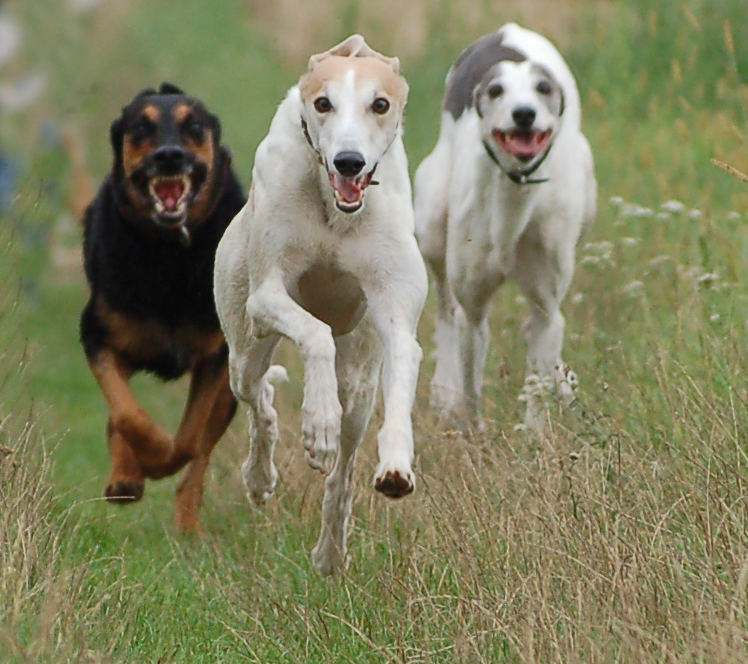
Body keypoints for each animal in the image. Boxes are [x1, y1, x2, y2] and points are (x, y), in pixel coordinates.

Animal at [81, 83, 245, 532]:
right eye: (141, 128)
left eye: (194, 127)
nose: (169, 155)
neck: (169, 249)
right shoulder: (98, 335)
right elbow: (127, 415)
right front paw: (142, 461)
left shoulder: (216, 354)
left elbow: (189, 441)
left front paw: (158, 462)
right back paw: (125, 477)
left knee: (200, 455)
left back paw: (189, 527)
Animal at [216, 35, 426, 576]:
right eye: (323, 103)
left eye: (380, 104)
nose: (349, 161)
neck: (337, 212)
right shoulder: (267, 295)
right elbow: (314, 336)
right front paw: (318, 422)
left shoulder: (395, 314)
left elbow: (403, 362)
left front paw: (397, 462)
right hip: (243, 348)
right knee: (260, 398)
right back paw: (260, 477)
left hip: (361, 377)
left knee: (344, 469)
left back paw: (331, 551)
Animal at [414, 23, 596, 430]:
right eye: (496, 91)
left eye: (543, 88)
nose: (524, 114)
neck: (516, 195)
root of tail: (507, 29)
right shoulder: (473, 306)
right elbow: (471, 387)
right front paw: (472, 431)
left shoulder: (546, 302)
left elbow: (540, 362)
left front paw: (537, 433)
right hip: (431, 222)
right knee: (445, 310)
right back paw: (444, 393)